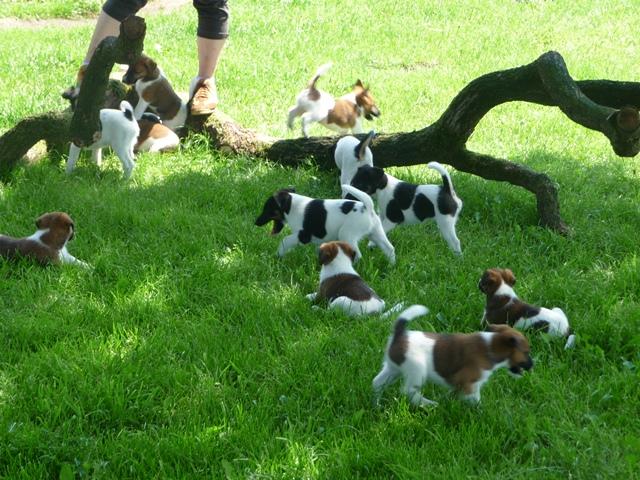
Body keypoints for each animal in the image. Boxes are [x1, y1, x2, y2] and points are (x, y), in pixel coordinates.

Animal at [254, 186, 396, 264]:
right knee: (389, 248)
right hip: (376, 233)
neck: (291, 206)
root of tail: (367, 207)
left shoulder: (302, 235)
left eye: (267, 209)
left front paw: (278, 255)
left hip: (347, 234)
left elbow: (285, 240)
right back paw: (391, 265)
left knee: (358, 254)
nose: (256, 222)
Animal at [372, 308, 532, 404]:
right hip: (417, 371)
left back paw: (376, 403)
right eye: (526, 352)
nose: (532, 365)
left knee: (377, 383)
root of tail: (400, 335)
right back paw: (429, 404)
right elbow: (475, 400)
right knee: (409, 392)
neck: (491, 346)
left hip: (392, 369)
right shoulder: (470, 384)